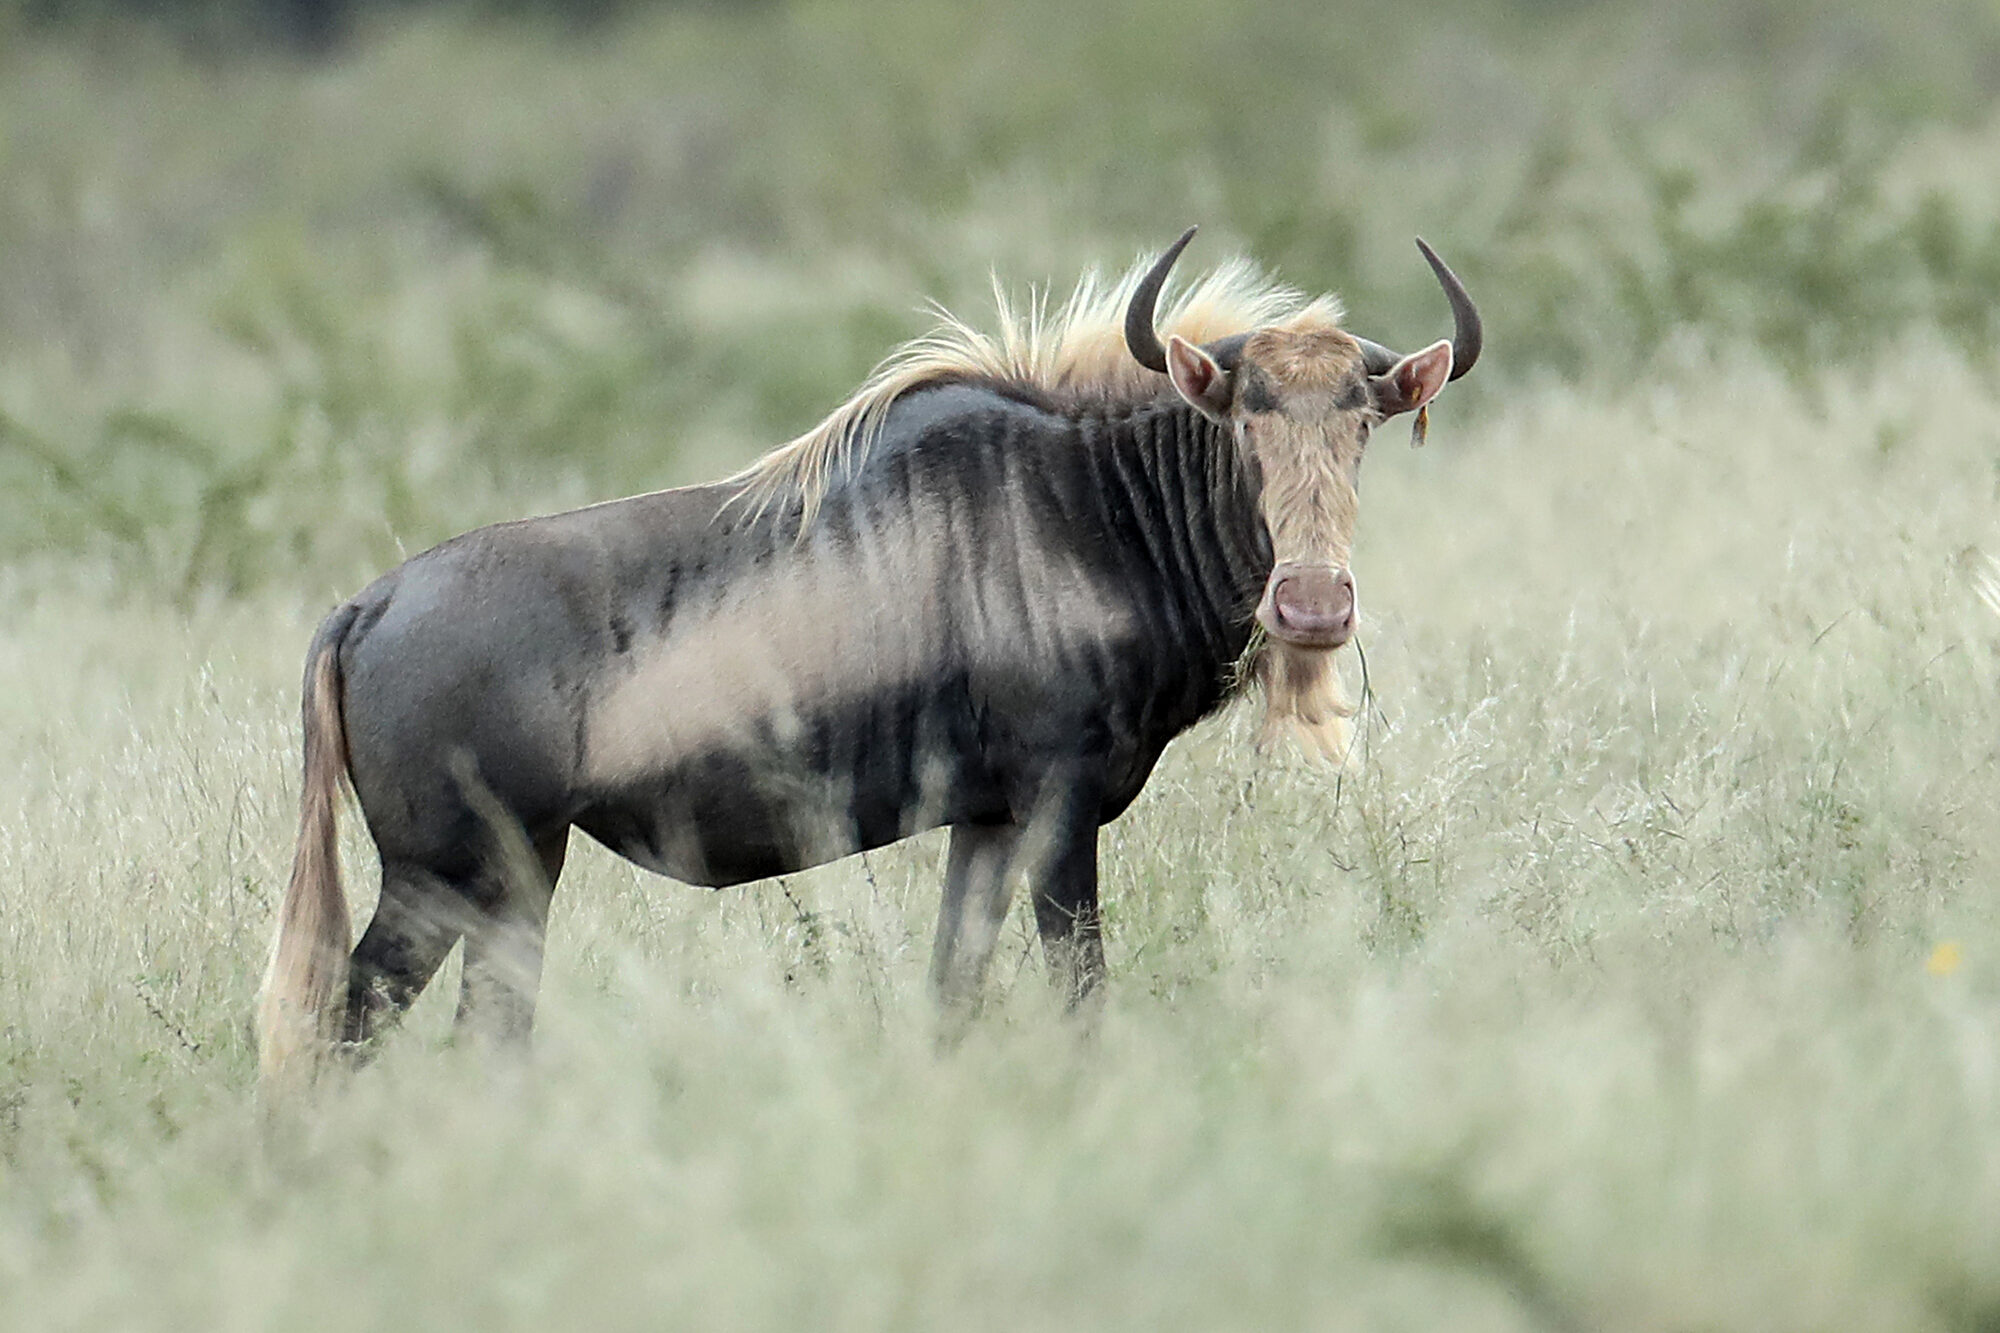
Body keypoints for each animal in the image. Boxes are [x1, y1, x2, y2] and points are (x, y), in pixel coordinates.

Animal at [257, 228, 1480, 1092]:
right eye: (1242, 417)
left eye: (1363, 421)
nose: (1313, 606)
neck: (1090, 509)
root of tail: (365, 606)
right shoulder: (1060, 808)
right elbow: (1079, 992)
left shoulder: (988, 824)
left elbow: (952, 996)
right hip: (446, 880)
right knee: (337, 1029)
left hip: (513, 883)